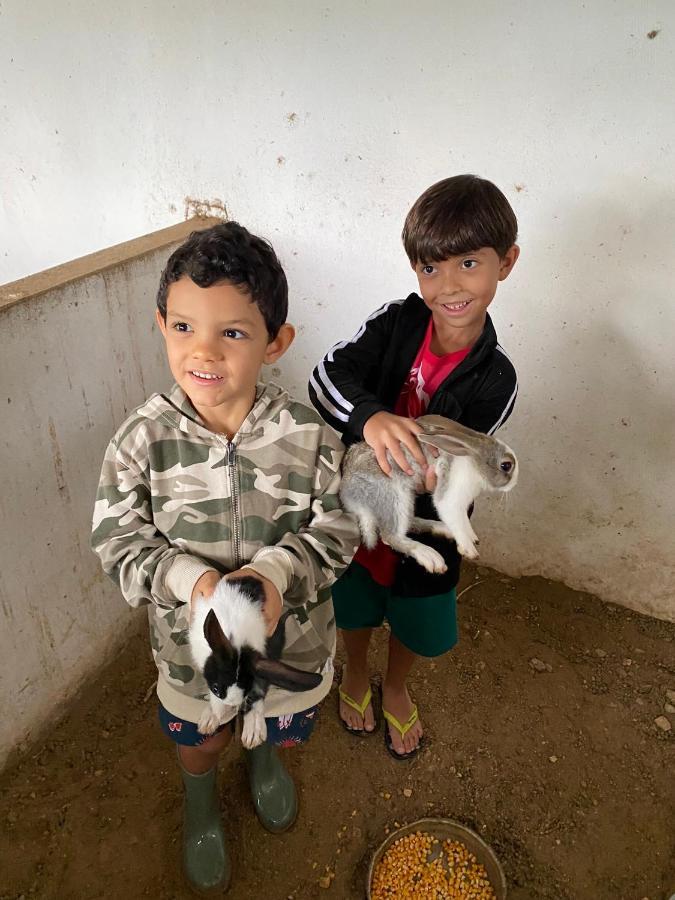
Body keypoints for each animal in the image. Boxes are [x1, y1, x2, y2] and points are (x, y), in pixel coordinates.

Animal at [190, 576, 324, 744]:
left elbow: (258, 690)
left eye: (246, 690)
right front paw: (212, 717)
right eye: (215, 688)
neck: (235, 639)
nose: (231, 706)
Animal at [340, 416, 520, 576]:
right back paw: (429, 556)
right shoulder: (450, 500)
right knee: (390, 536)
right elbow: (456, 520)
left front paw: (472, 537)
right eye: (506, 465)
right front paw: (469, 549)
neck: (473, 461)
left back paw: (442, 529)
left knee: (410, 522)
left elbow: (464, 522)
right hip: (395, 496)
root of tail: (349, 495)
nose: (514, 483)